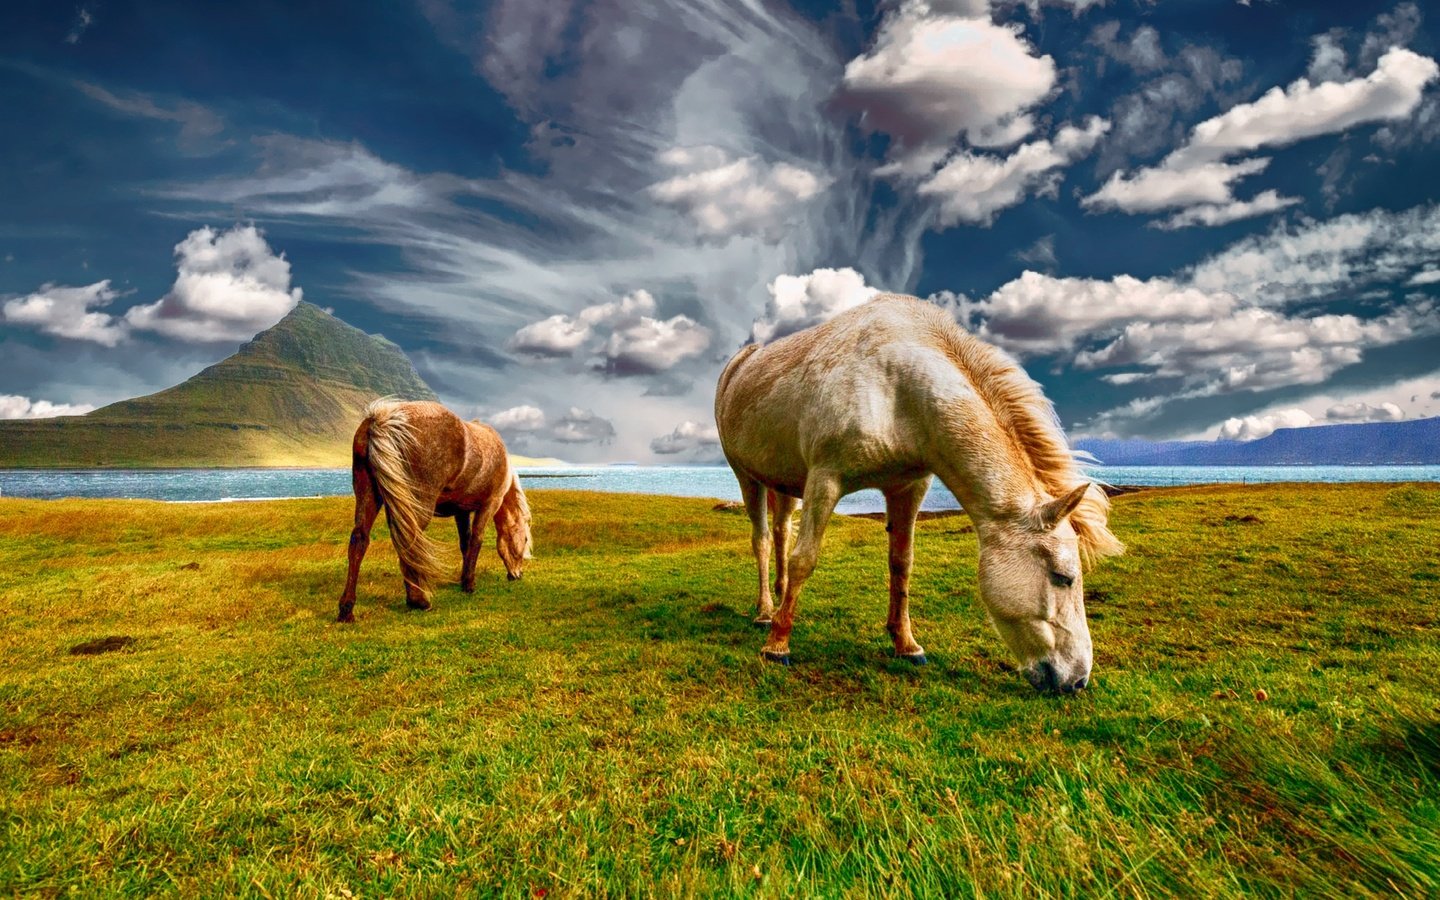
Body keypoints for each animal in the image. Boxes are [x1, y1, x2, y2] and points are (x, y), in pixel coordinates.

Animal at [334, 403, 532, 624]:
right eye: (524, 539)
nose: (517, 574)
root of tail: (383, 419)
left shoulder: (461, 511)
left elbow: (465, 543)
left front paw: (463, 579)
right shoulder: (489, 504)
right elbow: (476, 540)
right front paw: (469, 584)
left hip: (368, 495)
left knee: (359, 540)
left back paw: (346, 609)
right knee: (409, 541)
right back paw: (418, 600)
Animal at [720, 295, 1123, 694]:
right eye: (1063, 577)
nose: (1077, 679)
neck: (898, 388)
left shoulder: (908, 488)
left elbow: (902, 565)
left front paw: (906, 644)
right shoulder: (825, 480)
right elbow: (805, 559)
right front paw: (777, 645)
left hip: (784, 482)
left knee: (781, 532)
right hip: (748, 477)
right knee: (762, 541)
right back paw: (766, 613)